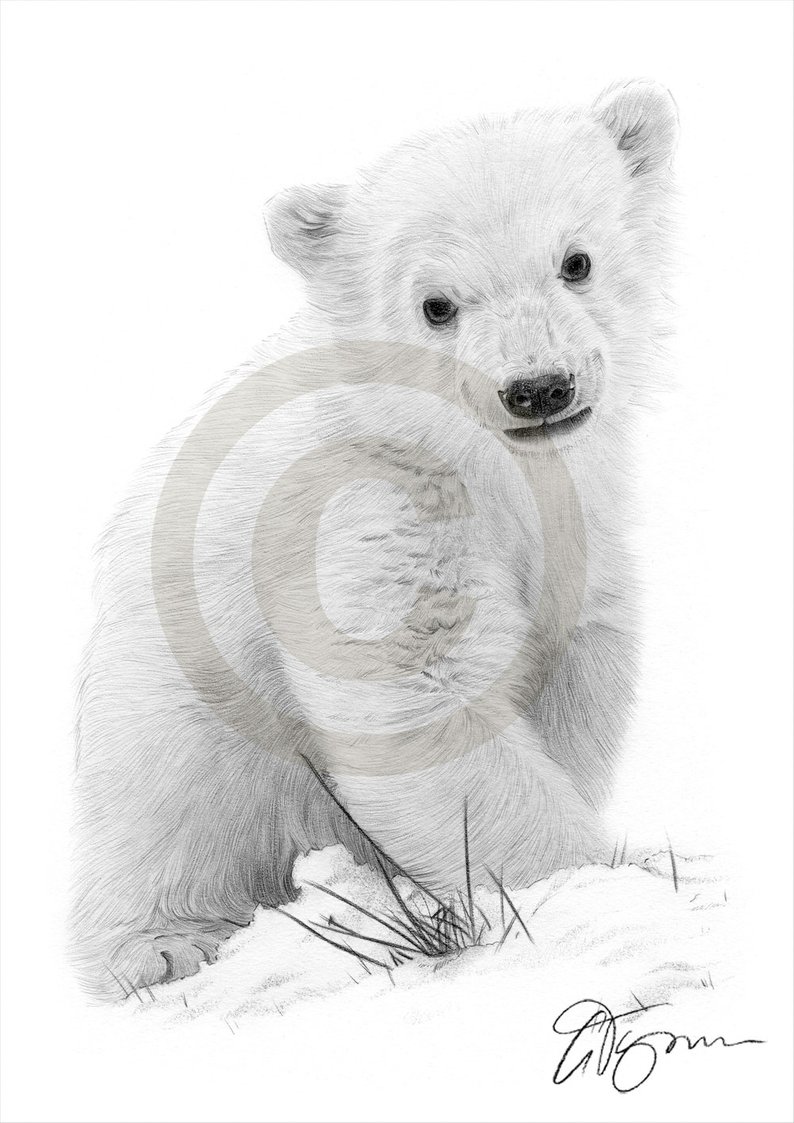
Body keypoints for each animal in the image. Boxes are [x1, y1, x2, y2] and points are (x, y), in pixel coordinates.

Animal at [71, 80, 678, 999]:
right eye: (437, 304)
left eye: (576, 260)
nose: (539, 387)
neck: (486, 466)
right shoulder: (366, 515)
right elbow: (419, 693)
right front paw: (593, 878)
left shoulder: (582, 532)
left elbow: (573, 675)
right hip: (176, 703)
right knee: (167, 806)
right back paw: (161, 943)